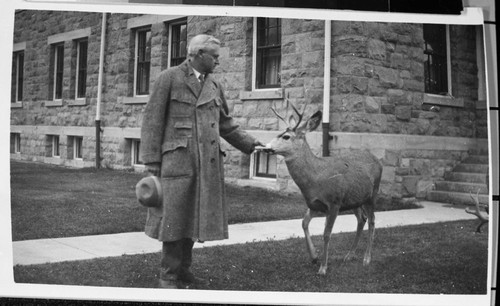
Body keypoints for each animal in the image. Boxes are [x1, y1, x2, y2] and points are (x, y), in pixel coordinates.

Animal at [262, 101, 382, 274]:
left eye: (286, 136)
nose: (266, 147)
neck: (315, 178)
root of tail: (378, 161)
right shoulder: (314, 204)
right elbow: (304, 223)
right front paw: (314, 257)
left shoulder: (334, 202)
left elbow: (326, 233)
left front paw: (323, 267)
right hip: (354, 200)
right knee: (362, 219)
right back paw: (349, 255)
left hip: (372, 195)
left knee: (372, 221)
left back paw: (366, 258)